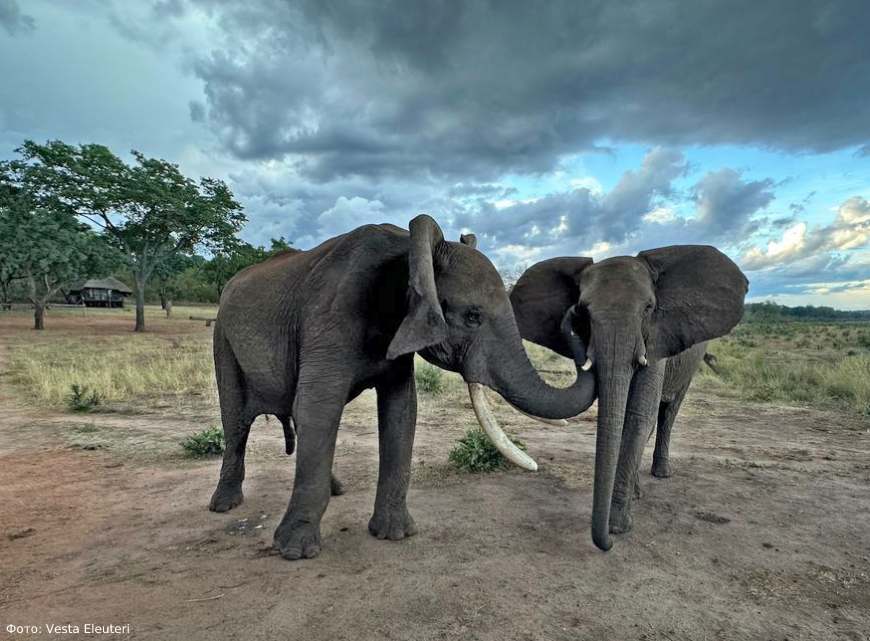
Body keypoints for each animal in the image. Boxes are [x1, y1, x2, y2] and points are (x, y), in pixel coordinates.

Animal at [209, 216, 600, 560]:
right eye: (472, 317)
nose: (576, 315)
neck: (408, 252)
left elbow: (401, 410)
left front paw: (395, 534)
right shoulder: (328, 320)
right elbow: (318, 408)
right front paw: (295, 552)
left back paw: (337, 489)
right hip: (222, 337)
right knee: (236, 420)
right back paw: (224, 505)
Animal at [510, 245, 748, 552]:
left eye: (648, 308)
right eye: (583, 311)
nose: (570, 315)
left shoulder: (657, 339)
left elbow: (637, 416)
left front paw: (617, 527)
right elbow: (620, 417)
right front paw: (622, 513)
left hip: (691, 362)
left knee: (668, 413)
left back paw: (661, 473)